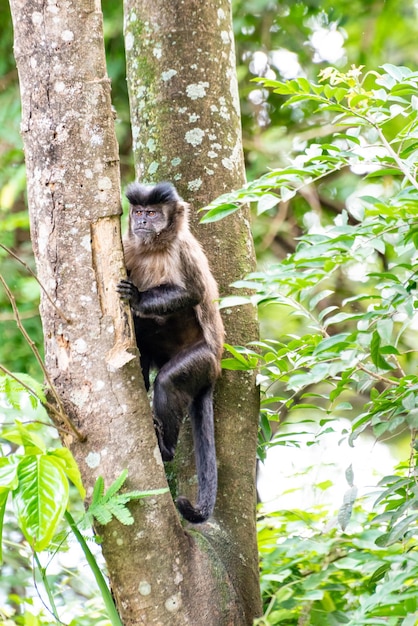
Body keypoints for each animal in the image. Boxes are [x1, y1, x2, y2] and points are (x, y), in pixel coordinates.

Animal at [116, 182, 224, 520]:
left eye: (152, 213)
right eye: (139, 212)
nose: (141, 220)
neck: (153, 248)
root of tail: (215, 369)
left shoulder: (183, 250)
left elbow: (194, 293)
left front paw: (137, 297)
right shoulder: (129, 248)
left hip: (202, 359)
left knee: (169, 382)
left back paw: (165, 449)